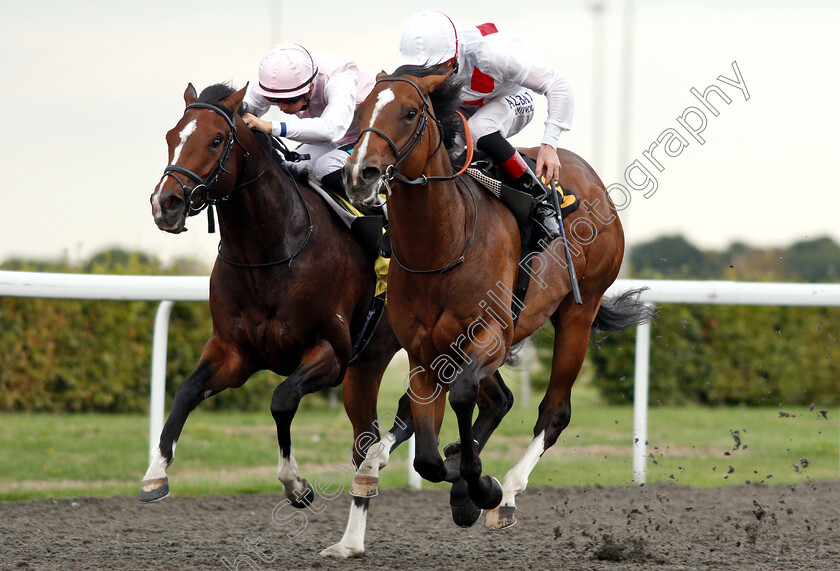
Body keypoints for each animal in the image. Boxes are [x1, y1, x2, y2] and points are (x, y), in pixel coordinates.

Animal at [144, 84, 410, 560]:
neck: (269, 252)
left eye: (216, 140)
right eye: (173, 135)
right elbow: (187, 391)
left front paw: (297, 486)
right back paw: (352, 539)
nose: (165, 203)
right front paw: (155, 474)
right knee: (366, 438)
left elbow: (282, 399)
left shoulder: (331, 353)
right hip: (368, 366)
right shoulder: (234, 351)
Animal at [344, 68, 652, 532]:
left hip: (578, 314)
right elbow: (427, 454)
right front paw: (457, 472)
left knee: (554, 411)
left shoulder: (490, 333)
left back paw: (506, 490)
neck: (443, 243)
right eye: (360, 109)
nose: (360, 173)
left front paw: (480, 485)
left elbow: (461, 397)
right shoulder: (423, 352)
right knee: (497, 400)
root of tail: (591, 177)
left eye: (411, 112)